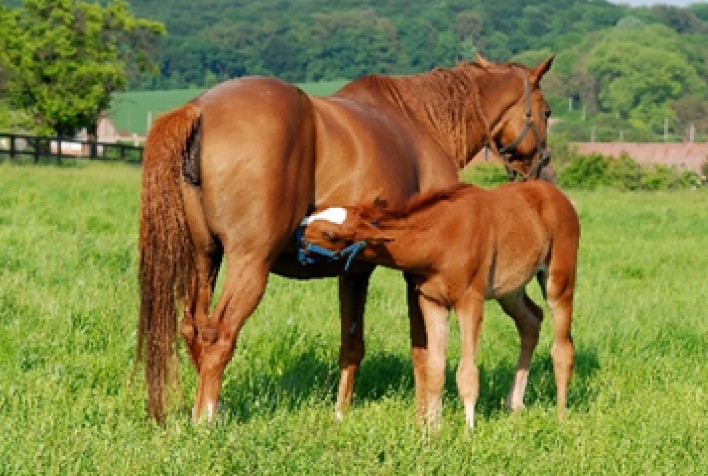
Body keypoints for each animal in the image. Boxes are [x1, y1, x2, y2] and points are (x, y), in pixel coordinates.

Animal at [138, 54, 556, 422]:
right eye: (547, 111)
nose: (544, 173)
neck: (420, 120)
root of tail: (200, 109)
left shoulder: (354, 271)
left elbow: (353, 344)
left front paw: (341, 414)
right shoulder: (418, 276)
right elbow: (423, 347)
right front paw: (425, 417)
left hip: (205, 258)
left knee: (193, 329)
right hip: (248, 264)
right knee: (219, 335)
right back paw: (206, 419)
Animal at [302, 181, 580, 428]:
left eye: (329, 234)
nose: (297, 236)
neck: (442, 239)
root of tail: (559, 195)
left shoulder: (470, 301)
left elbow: (467, 373)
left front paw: (468, 433)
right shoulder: (432, 301)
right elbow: (434, 369)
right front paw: (432, 431)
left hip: (559, 281)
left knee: (562, 348)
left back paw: (561, 417)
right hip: (510, 289)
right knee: (531, 320)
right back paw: (515, 403)